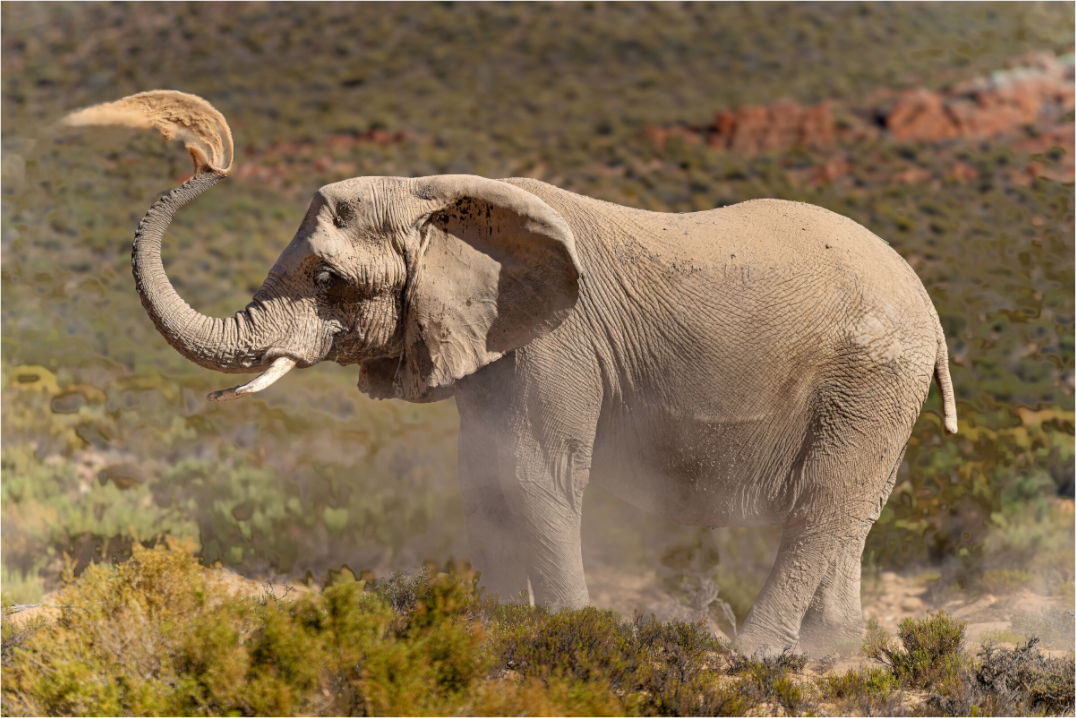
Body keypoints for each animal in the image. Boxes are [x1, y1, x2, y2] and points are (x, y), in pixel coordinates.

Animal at [73, 91, 957, 656]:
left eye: (328, 278)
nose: (207, 158)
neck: (438, 198)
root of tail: (927, 302)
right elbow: (486, 479)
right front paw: (495, 631)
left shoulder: (556, 344)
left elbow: (536, 478)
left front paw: (568, 636)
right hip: (879, 392)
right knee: (853, 514)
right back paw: (834, 656)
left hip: (871, 376)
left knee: (819, 511)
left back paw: (754, 659)